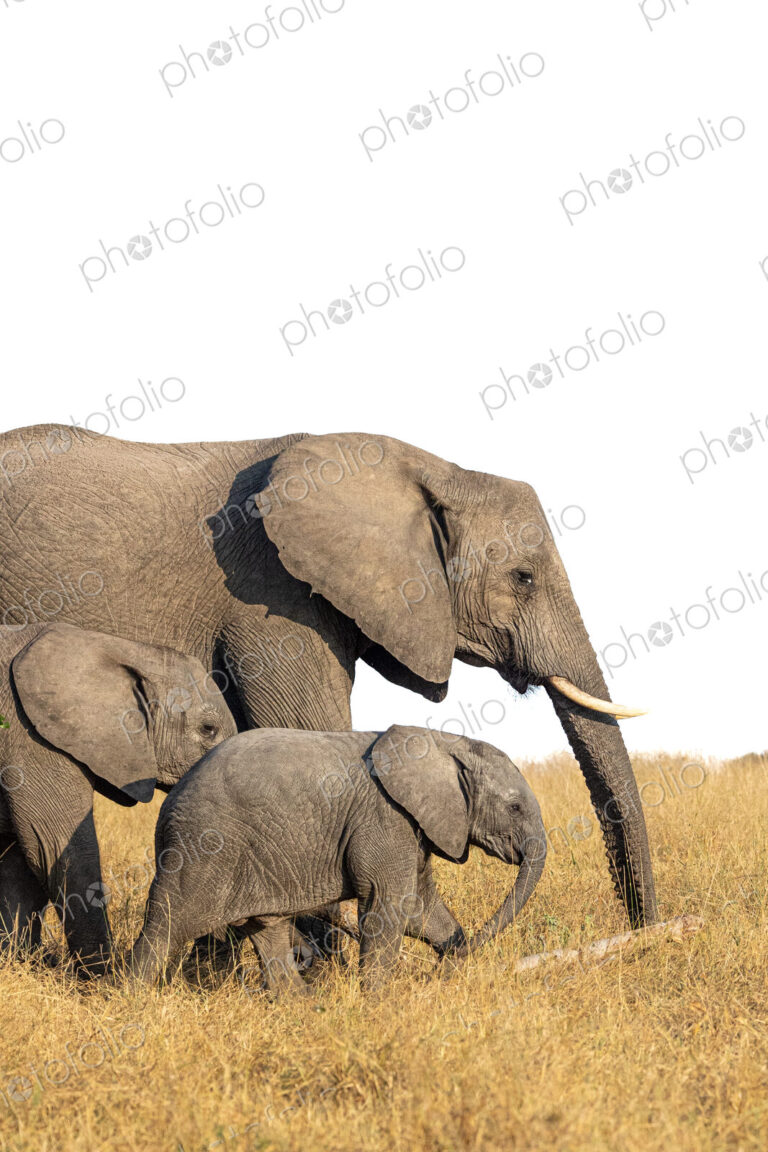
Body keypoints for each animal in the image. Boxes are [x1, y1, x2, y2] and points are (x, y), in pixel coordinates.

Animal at [0, 621, 236, 974]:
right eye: (208, 729)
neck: (122, 647)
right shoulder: (31, 736)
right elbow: (54, 847)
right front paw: (100, 975)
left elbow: (19, 859)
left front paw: (19, 960)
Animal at [125, 725, 547, 990]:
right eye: (513, 807)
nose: (434, 974)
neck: (444, 742)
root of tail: (170, 800)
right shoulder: (385, 818)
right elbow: (388, 905)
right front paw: (379, 1002)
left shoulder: (413, 826)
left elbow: (419, 907)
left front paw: (450, 955)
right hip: (203, 847)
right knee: (165, 926)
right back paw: (131, 1000)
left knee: (268, 928)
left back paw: (303, 1007)